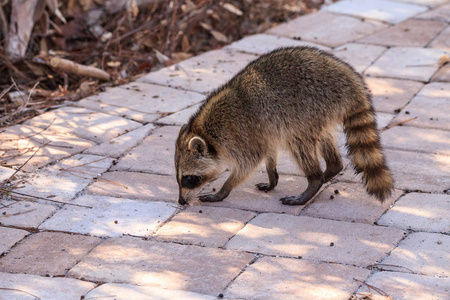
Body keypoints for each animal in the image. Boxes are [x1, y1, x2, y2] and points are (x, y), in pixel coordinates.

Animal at [175, 47, 394, 206]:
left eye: (189, 179)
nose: (181, 201)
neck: (206, 131)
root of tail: (350, 81)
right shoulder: (264, 129)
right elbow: (269, 150)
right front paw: (272, 176)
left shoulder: (240, 133)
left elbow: (248, 163)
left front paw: (224, 190)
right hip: (318, 113)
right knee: (323, 139)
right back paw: (331, 169)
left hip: (309, 106)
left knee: (298, 142)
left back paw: (314, 180)